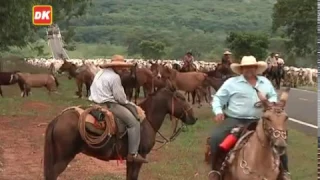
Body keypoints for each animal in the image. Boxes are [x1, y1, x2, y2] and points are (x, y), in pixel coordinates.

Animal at [42, 82, 198, 180]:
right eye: (181, 98)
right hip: (64, 157)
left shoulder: (130, 160)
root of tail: (57, 119)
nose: (194, 117)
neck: (147, 119)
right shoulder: (139, 157)